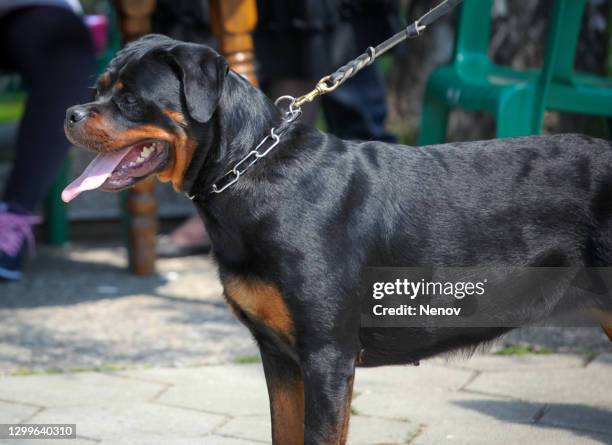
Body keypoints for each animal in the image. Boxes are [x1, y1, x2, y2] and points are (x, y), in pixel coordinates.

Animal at [63, 35, 612, 444]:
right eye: (99, 87)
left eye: (129, 99)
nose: (70, 112)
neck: (248, 171)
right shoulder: (280, 356)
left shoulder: (328, 357)